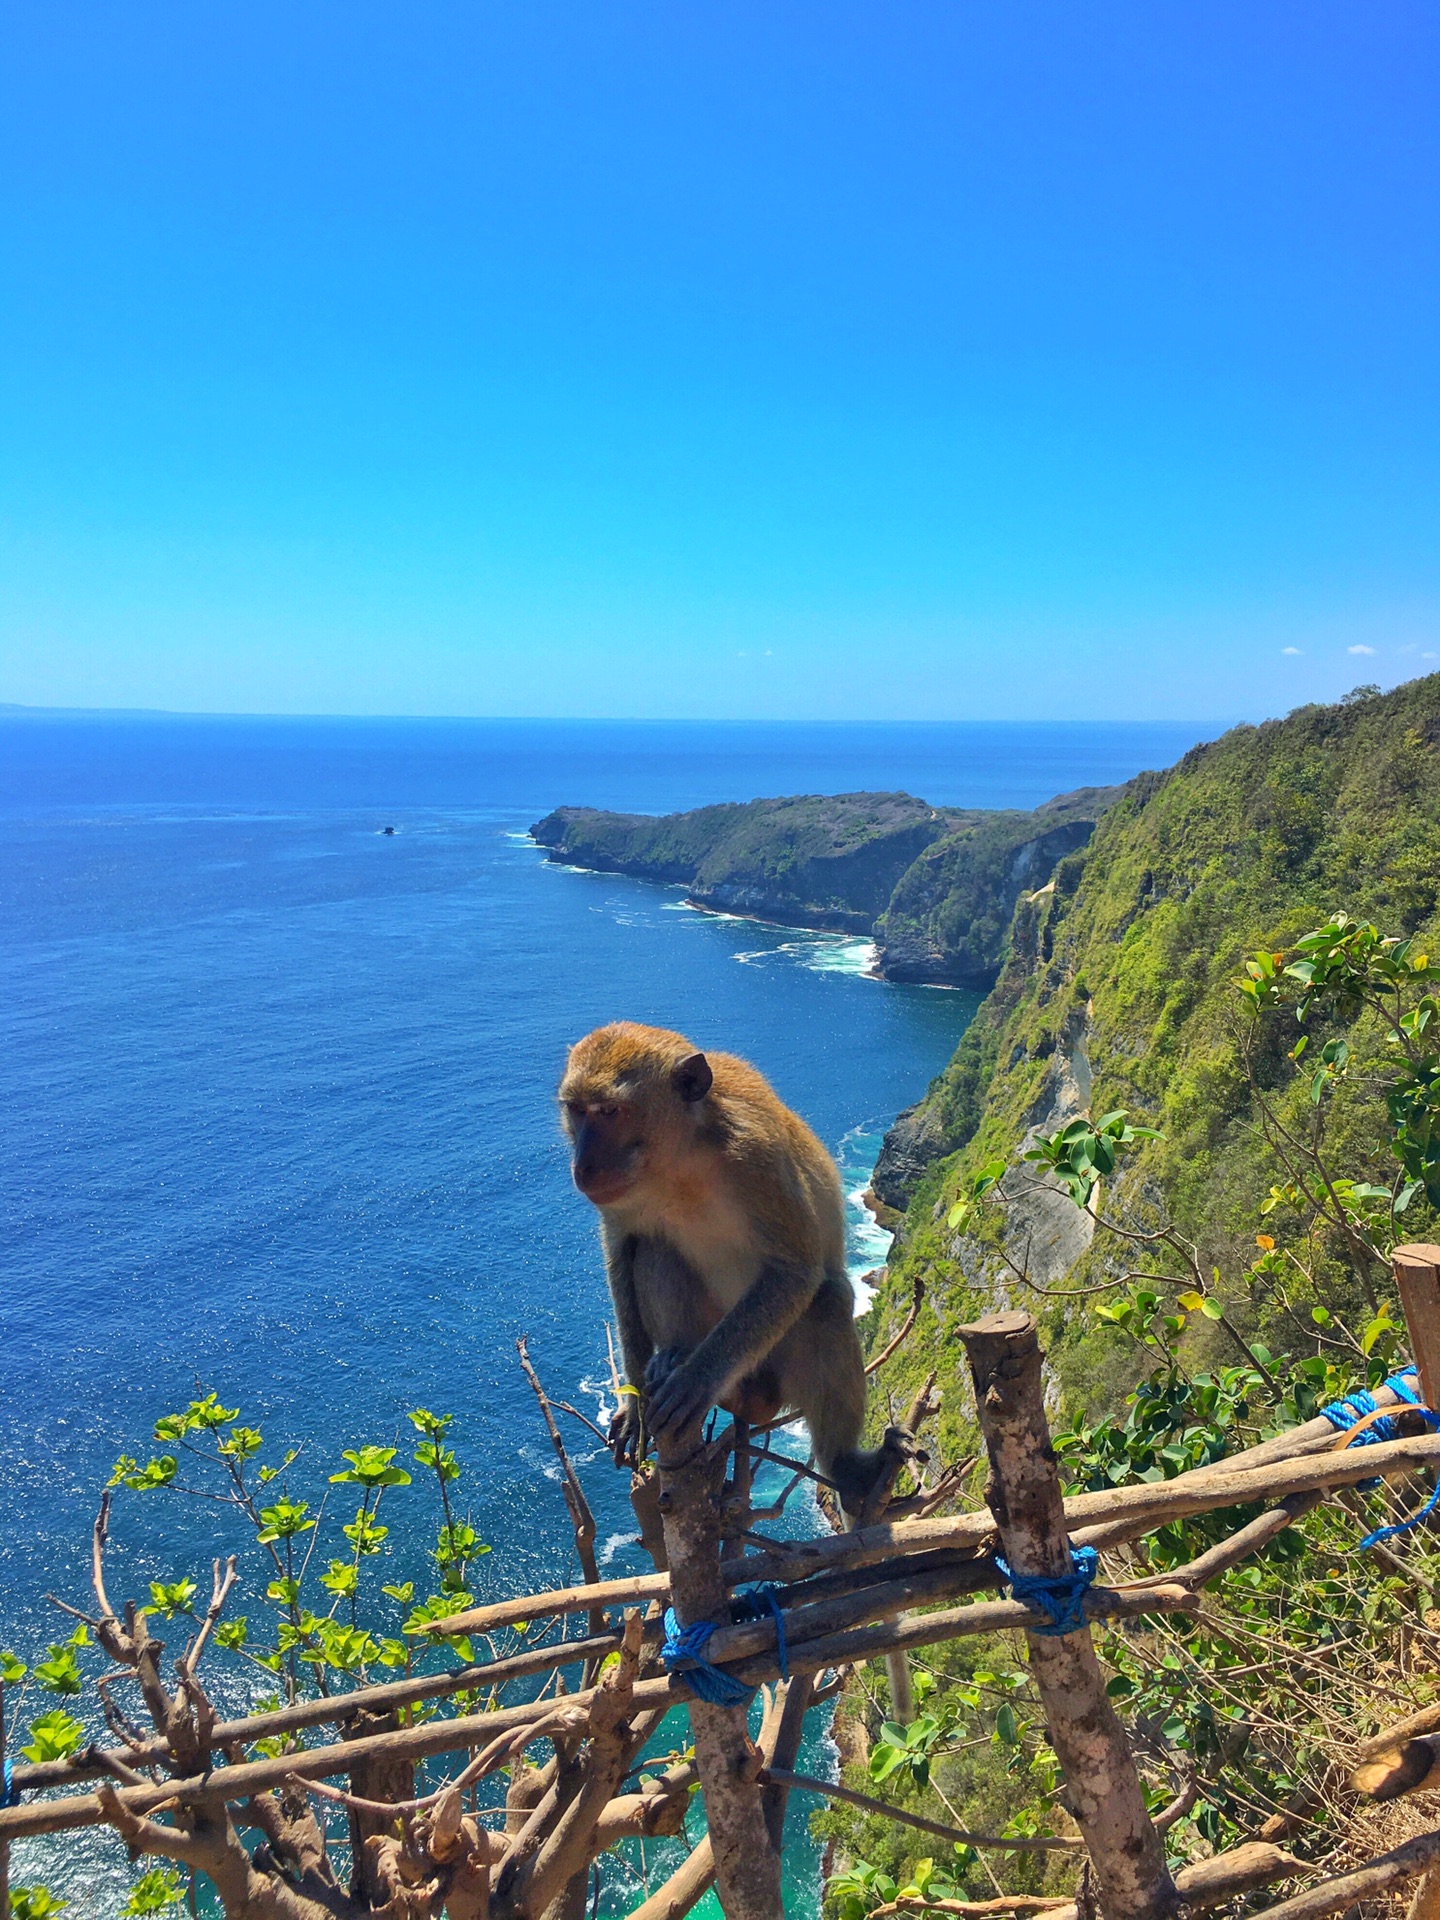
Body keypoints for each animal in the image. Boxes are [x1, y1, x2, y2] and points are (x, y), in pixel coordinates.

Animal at [556, 1021, 887, 1512]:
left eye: (610, 1111)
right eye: (578, 1112)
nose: (584, 1165)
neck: (679, 1160)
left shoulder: (757, 1158)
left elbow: (794, 1271)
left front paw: (697, 1381)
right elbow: (623, 1253)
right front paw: (634, 1408)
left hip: (770, 1371)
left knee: (826, 1302)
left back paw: (845, 1466)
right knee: (655, 1249)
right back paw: (675, 1354)